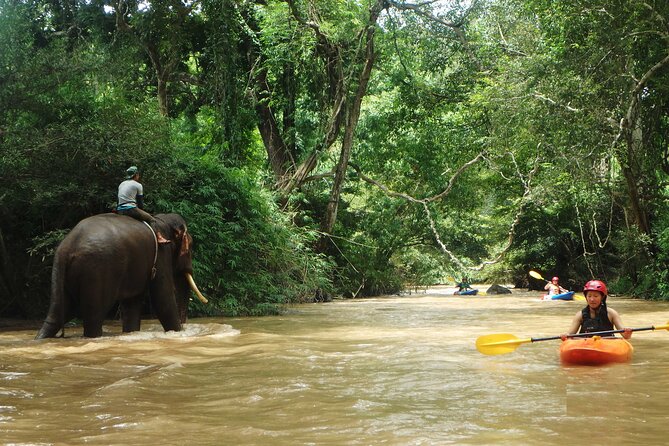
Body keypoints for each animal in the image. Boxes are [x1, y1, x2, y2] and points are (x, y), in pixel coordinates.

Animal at [34, 213, 205, 338]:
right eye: (190, 246)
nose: (184, 327)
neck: (162, 220)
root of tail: (68, 247)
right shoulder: (162, 253)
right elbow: (163, 298)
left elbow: (132, 302)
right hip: (97, 272)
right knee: (93, 316)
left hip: (61, 272)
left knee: (58, 314)